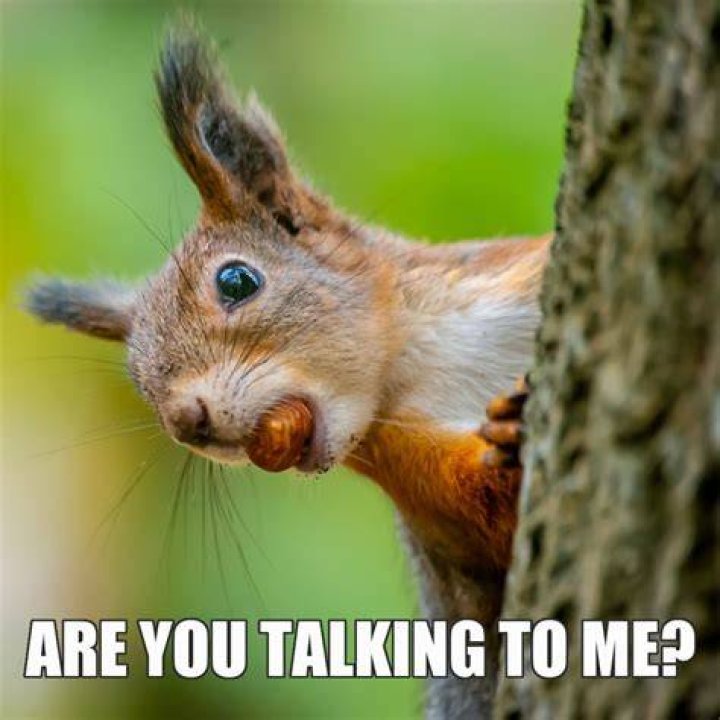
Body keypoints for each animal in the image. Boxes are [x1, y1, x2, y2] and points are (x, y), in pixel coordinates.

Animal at [25, 23, 550, 720]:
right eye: (138, 382)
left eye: (236, 281)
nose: (186, 422)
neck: (428, 362)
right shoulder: (425, 493)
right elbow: (490, 526)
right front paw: (511, 435)